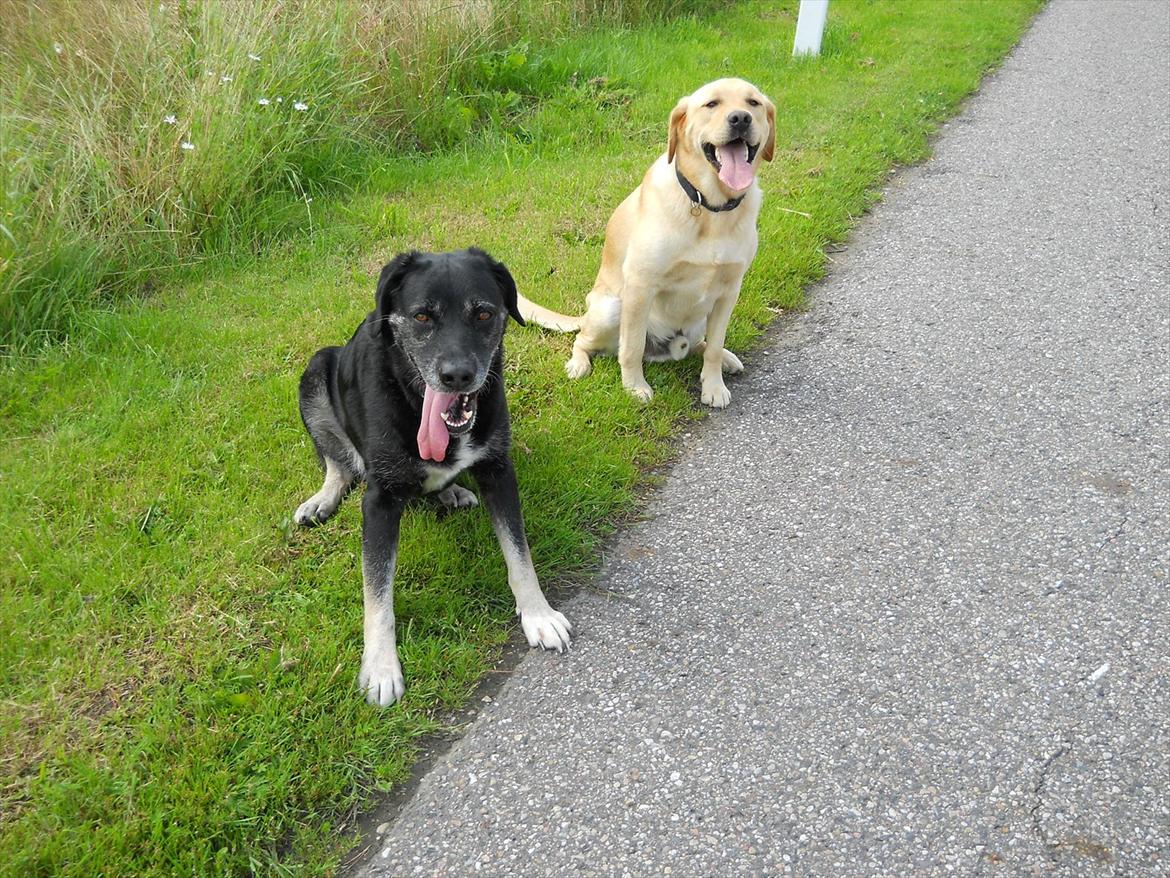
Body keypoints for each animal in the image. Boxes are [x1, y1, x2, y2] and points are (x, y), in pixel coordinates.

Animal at [294, 248, 573, 707]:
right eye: (422, 316)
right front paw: (381, 667)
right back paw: (322, 499)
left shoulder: (498, 470)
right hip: (316, 371)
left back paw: (451, 491)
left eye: (483, 313)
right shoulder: (380, 500)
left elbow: (520, 554)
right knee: (338, 463)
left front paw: (538, 614)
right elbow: (377, 592)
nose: (456, 376)